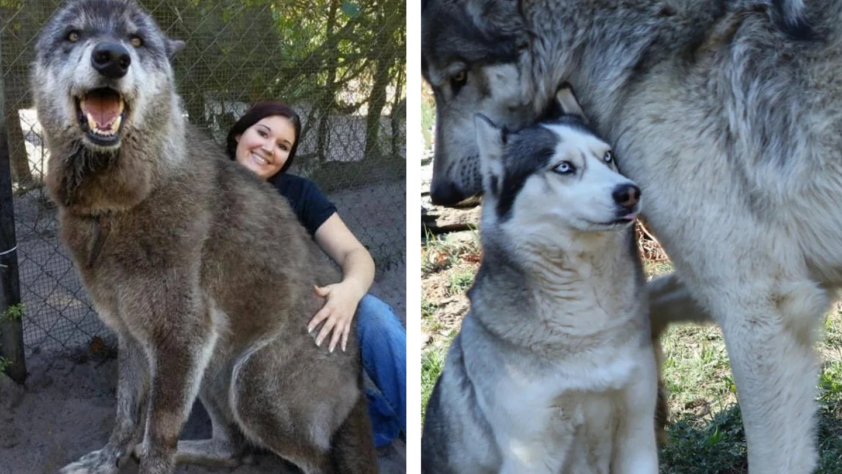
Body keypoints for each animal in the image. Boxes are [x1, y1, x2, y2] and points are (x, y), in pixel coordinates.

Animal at [31, 0, 376, 474]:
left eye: (137, 40)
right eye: (72, 35)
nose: (112, 57)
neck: (120, 203)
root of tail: (358, 378)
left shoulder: (180, 339)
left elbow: (158, 434)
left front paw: (146, 458)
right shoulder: (132, 336)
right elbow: (126, 415)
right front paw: (108, 460)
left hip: (252, 388)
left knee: (315, 461)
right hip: (215, 369)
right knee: (235, 448)